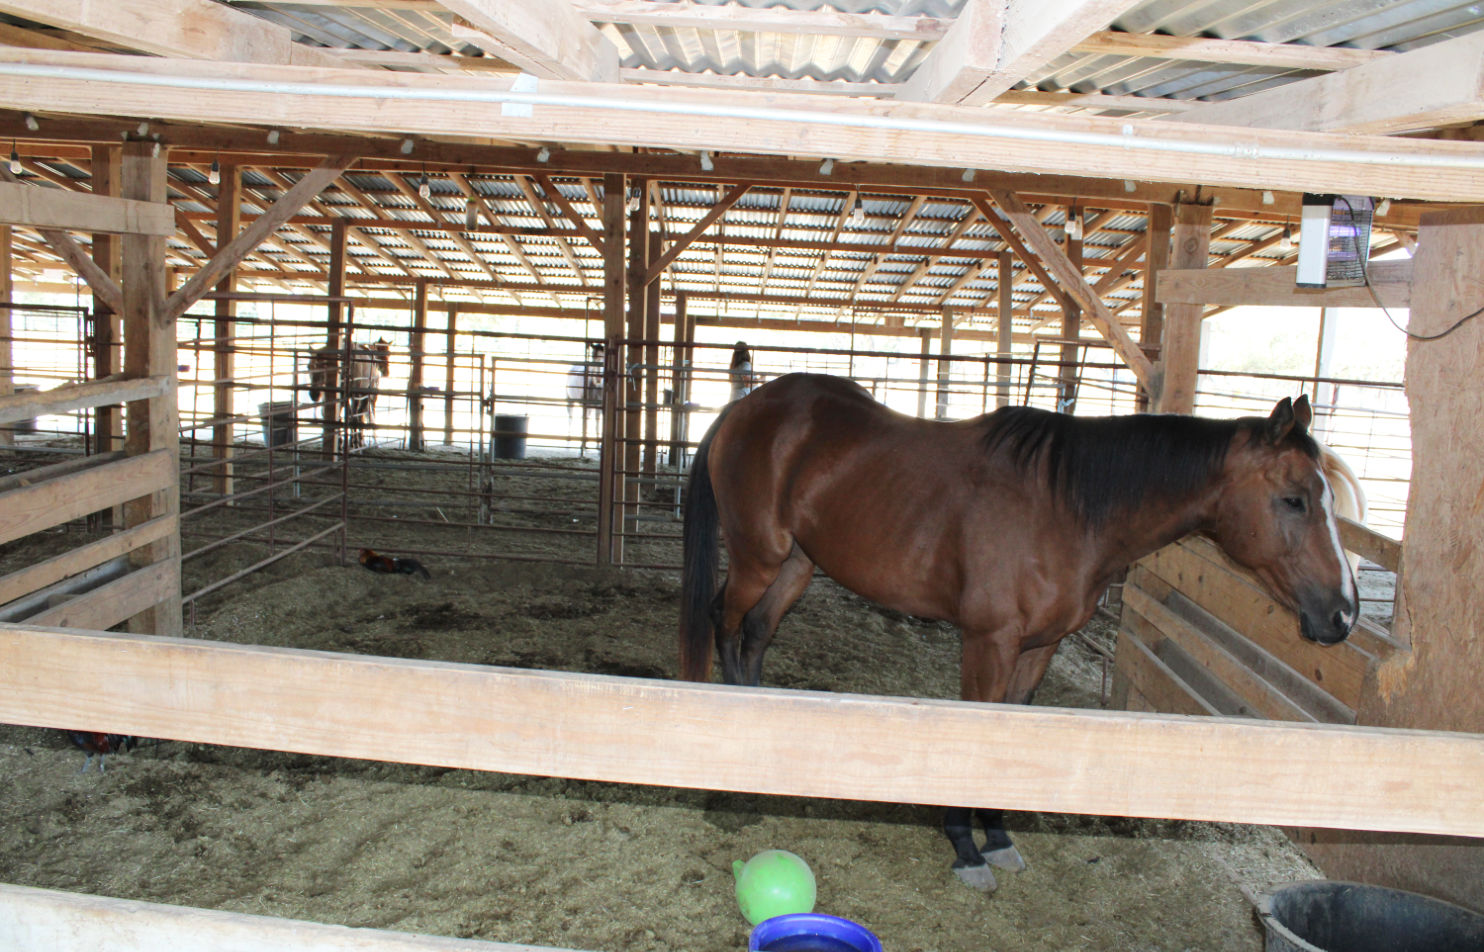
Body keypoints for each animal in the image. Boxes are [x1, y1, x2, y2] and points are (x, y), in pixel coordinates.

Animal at [679, 372, 1359, 889]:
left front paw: (998, 835)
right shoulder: (990, 641)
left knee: (756, 632)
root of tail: (746, 406)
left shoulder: (1040, 647)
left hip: (797, 563)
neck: (1065, 509)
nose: (1343, 614)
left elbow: (1012, 730)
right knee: (726, 624)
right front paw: (965, 846)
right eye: (1295, 499)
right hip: (759, 556)